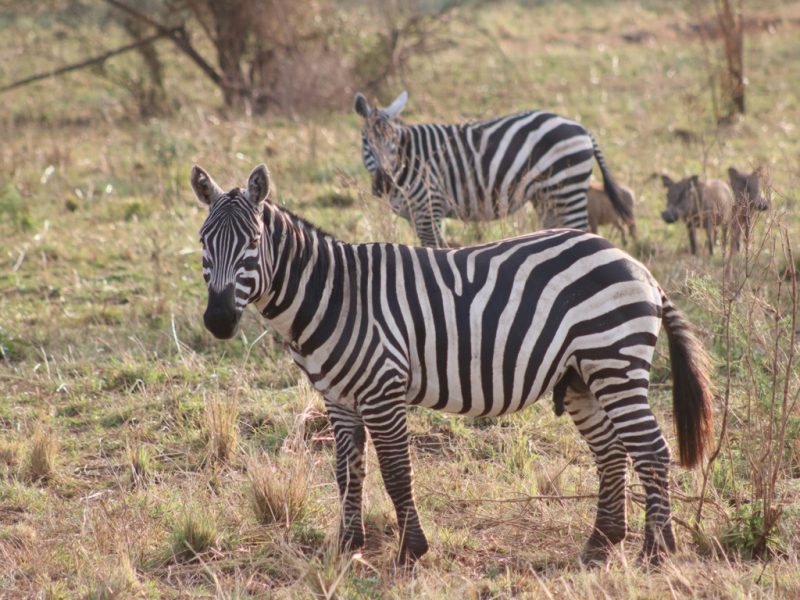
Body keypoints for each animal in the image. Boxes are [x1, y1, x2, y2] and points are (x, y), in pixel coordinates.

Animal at [192, 162, 712, 564]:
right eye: (202, 243)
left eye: (252, 242)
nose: (218, 319)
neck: (335, 296)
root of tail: (637, 266)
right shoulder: (339, 400)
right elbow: (347, 472)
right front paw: (347, 545)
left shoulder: (382, 390)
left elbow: (396, 471)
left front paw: (411, 551)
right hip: (583, 376)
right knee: (611, 451)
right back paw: (601, 544)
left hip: (614, 362)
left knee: (651, 450)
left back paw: (657, 552)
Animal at [354, 89, 632, 248]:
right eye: (366, 142)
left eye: (392, 142)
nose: (383, 184)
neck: (407, 160)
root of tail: (581, 128)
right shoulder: (418, 215)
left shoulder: (429, 207)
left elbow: (433, 249)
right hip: (548, 198)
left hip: (566, 188)